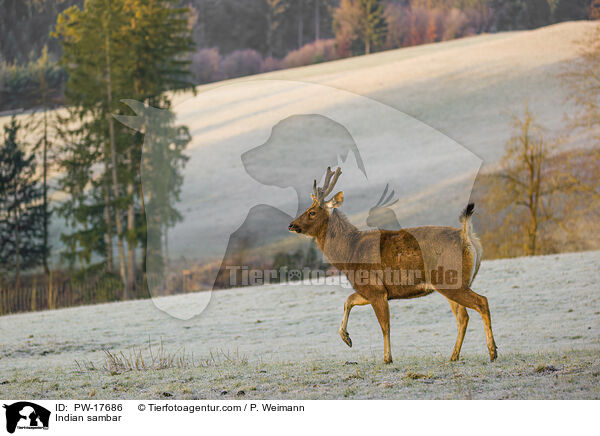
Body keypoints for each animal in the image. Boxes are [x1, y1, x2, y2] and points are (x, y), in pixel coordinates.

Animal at [288, 167, 496, 364]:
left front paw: (387, 358)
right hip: (451, 283)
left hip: (450, 280)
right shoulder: (371, 290)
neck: (349, 252)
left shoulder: (375, 289)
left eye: (312, 212)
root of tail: (468, 238)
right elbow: (348, 300)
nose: (291, 225)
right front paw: (346, 338)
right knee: (463, 317)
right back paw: (454, 356)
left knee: (481, 302)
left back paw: (492, 352)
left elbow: (384, 325)